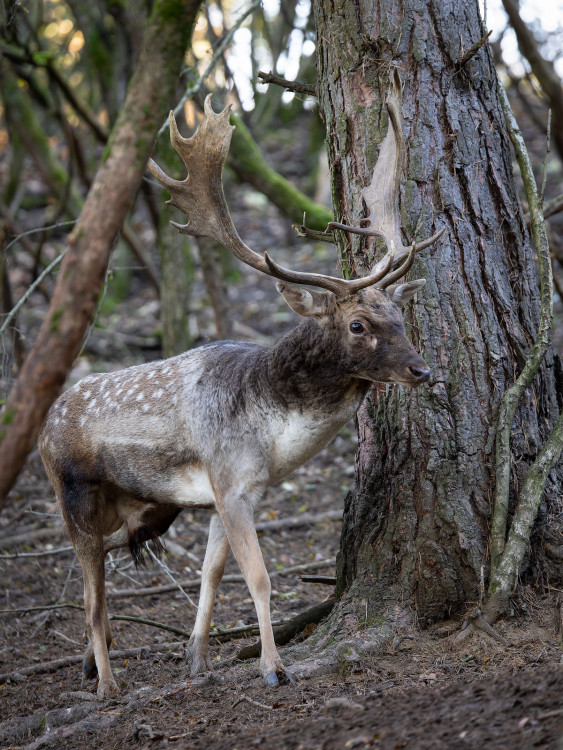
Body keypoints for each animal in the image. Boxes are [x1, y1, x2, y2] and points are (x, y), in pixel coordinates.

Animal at [38, 78, 446, 700]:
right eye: (357, 325)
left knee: (107, 561)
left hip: (147, 505)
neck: (273, 431)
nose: (422, 371)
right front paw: (274, 667)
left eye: (398, 315)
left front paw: (197, 658)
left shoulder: (216, 495)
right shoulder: (231, 481)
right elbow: (258, 577)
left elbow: (211, 573)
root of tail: (43, 428)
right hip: (73, 491)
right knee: (90, 591)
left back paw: (91, 662)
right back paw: (107, 684)